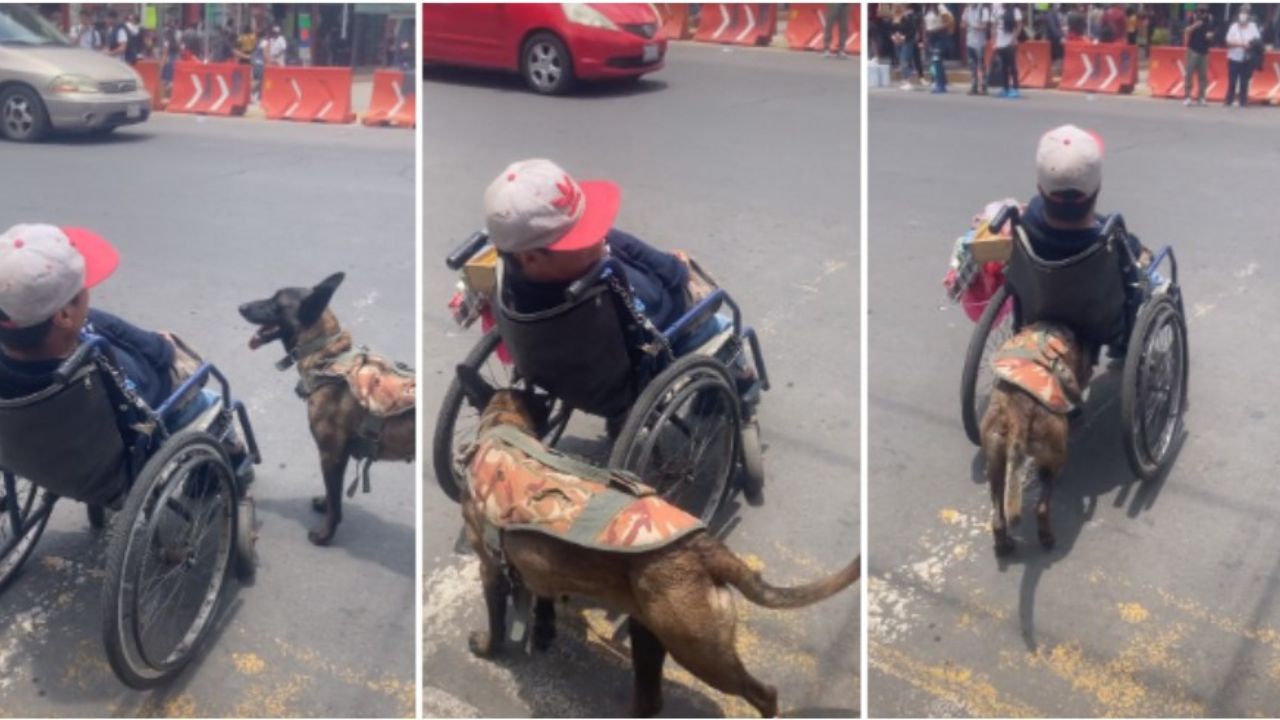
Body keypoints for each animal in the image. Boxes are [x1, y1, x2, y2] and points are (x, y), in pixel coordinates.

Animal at [240, 271, 414, 540]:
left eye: (276, 301)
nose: (241, 307)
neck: (327, 356)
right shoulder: (338, 456)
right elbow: (333, 494)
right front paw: (324, 504)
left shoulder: (330, 453)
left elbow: (335, 499)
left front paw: (325, 534)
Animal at [453, 366, 860, 712]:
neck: (505, 429)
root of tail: (705, 546)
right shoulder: (539, 575)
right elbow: (543, 602)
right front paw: (542, 631)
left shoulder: (490, 568)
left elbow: (497, 623)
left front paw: (488, 648)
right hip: (650, 634)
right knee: (651, 702)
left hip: (700, 652)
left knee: (764, 693)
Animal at [977, 322, 1090, 550]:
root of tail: (1018, 409)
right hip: (1055, 452)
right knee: (1041, 507)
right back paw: (1046, 537)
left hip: (994, 459)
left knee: (998, 516)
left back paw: (1004, 545)